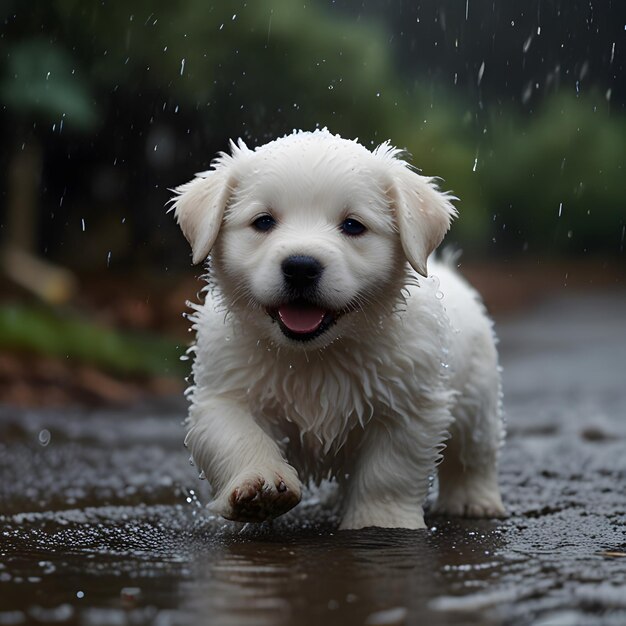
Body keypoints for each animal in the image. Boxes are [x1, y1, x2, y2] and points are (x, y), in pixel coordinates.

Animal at [171, 129, 502, 528]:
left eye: (353, 225)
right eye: (263, 222)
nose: (300, 266)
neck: (315, 354)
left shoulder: (410, 406)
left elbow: (390, 470)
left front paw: (379, 520)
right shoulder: (221, 394)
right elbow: (234, 436)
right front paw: (259, 484)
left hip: (478, 399)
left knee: (473, 454)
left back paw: (473, 500)